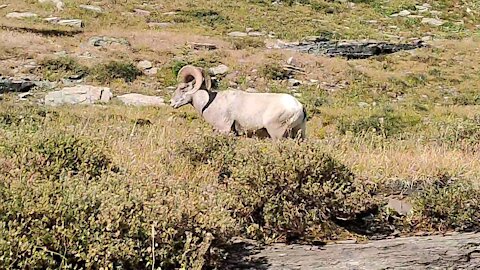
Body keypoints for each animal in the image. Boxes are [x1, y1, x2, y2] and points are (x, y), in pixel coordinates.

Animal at [171, 65, 306, 139]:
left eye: (183, 88)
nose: (171, 103)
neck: (210, 103)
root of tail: (299, 107)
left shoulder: (224, 130)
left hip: (277, 134)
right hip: (299, 134)